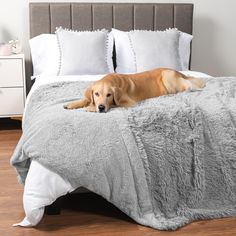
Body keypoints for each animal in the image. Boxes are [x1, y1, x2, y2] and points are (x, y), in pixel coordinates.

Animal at [64, 68, 205, 113]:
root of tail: (177, 71)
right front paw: (71, 104)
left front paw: (91, 107)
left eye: (109, 95)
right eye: (96, 94)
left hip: (167, 76)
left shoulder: (130, 103)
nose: (101, 107)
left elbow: (115, 104)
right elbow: (85, 99)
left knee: (189, 85)